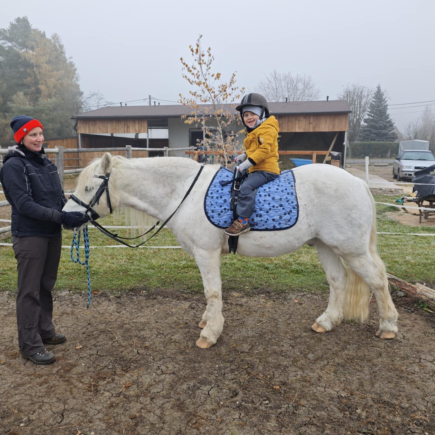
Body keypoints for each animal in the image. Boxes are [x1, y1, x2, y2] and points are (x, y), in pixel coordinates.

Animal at [63, 155, 400, 350]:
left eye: (89, 187)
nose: (66, 218)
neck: (183, 192)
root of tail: (357, 181)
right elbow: (209, 294)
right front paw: (207, 321)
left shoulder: (206, 253)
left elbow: (212, 292)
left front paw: (210, 333)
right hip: (325, 245)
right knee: (338, 281)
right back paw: (327, 321)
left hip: (351, 249)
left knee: (378, 280)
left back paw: (388, 326)